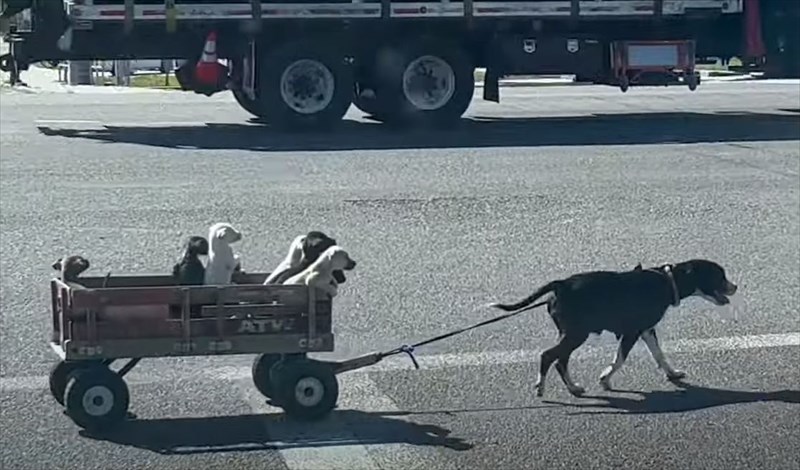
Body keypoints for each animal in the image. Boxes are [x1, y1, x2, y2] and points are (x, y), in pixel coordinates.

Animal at [488, 258, 736, 398]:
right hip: (577, 333)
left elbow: (659, 354)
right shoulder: (632, 332)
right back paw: (542, 386)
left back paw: (573, 388)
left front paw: (672, 373)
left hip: (571, 333)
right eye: (720, 276)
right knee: (548, 356)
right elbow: (619, 359)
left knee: (560, 360)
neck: (667, 281)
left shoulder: (647, 330)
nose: (735, 286)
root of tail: (561, 284)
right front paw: (605, 379)